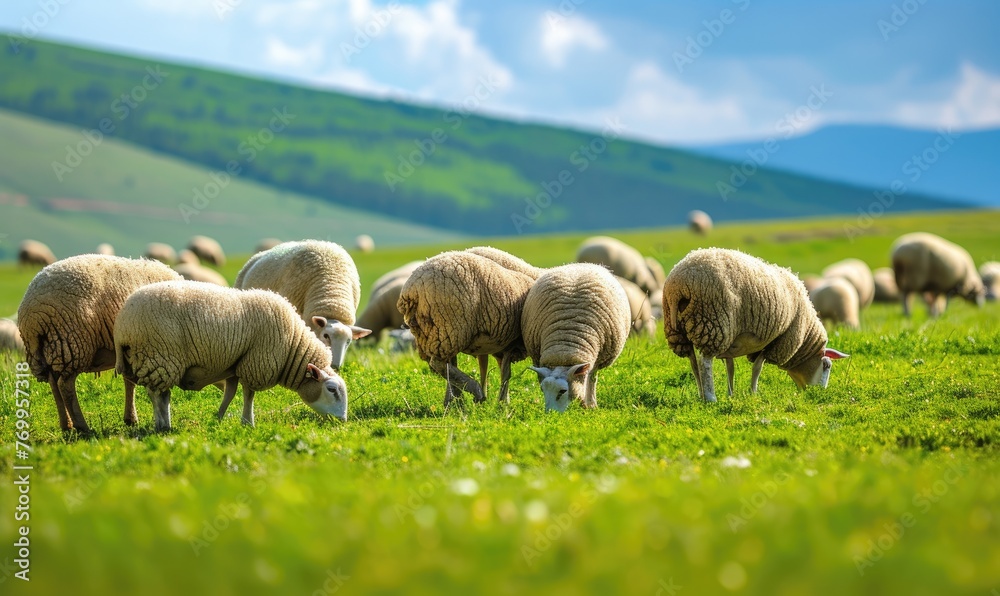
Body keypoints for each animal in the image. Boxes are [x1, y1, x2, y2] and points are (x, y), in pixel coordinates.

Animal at [17, 255, 182, 432]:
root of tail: (31, 317)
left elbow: (129, 382)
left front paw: (130, 419)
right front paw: (132, 418)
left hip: (53, 348)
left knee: (54, 384)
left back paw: (66, 425)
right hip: (73, 342)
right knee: (65, 386)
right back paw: (82, 427)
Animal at [114, 281, 347, 430]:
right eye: (332, 390)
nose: (343, 421)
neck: (292, 344)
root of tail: (122, 325)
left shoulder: (235, 364)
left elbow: (231, 393)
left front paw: (218, 417)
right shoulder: (257, 362)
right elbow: (249, 394)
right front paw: (248, 423)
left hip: (153, 359)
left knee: (160, 394)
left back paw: (164, 424)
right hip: (160, 355)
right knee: (157, 395)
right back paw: (162, 426)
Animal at [397, 250, 536, 406]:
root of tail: (411, 289)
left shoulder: (501, 344)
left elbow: (495, 368)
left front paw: (500, 401)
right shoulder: (510, 342)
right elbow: (506, 373)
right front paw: (502, 402)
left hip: (439, 333)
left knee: (447, 364)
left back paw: (455, 400)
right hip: (451, 326)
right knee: (438, 363)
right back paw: (474, 391)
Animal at [522, 263, 631, 412]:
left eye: (562, 391)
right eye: (542, 389)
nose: (550, 414)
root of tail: (581, 264)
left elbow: (590, 380)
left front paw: (588, 405)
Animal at [662, 248, 849, 403]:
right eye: (826, 366)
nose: (819, 395)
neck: (803, 341)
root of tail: (677, 286)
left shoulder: (732, 339)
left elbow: (730, 368)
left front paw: (731, 394)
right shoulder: (775, 343)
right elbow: (757, 368)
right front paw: (753, 393)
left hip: (680, 331)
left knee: (693, 362)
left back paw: (701, 394)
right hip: (714, 324)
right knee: (704, 362)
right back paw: (710, 398)